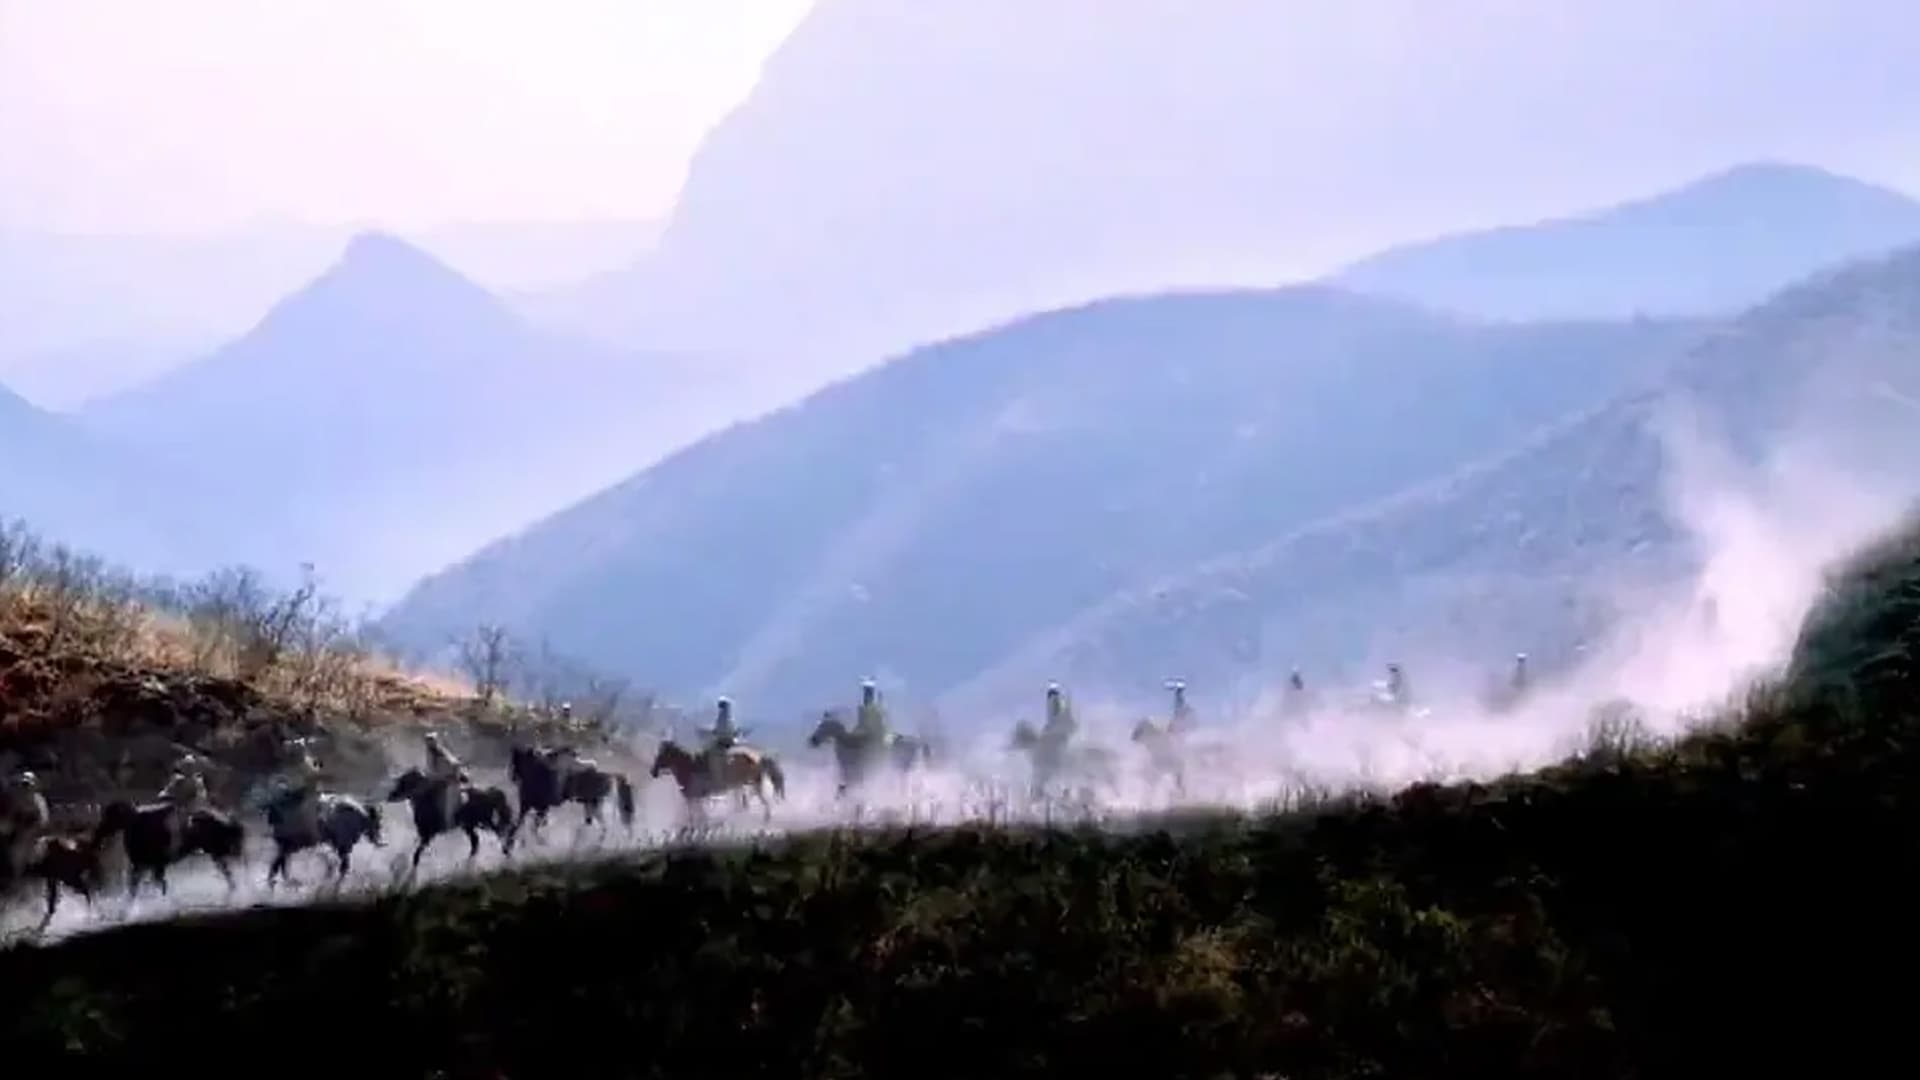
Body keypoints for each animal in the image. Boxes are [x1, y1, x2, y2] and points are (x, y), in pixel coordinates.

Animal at [92, 795, 243, 895]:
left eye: (110, 816)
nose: (97, 836)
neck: (136, 823)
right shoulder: (145, 867)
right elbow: (139, 889)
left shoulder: (154, 866)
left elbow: (159, 886)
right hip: (218, 854)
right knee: (229, 873)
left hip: (221, 852)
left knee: (230, 872)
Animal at [385, 764, 518, 864]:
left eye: (403, 783)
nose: (390, 796)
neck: (425, 797)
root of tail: (490, 793)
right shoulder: (425, 834)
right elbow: (419, 849)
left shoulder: (427, 833)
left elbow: (418, 850)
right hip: (470, 825)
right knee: (476, 840)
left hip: (485, 822)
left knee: (499, 832)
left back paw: (506, 849)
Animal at [503, 737, 637, 841]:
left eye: (514, 761)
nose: (512, 777)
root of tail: (612, 777)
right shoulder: (532, 806)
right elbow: (524, 825)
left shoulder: (538, 806)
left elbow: (530, 826)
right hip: (593, 805)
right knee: (599, 825)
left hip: (595, 806)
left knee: (603, 826)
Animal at [648, 734, 783, 818]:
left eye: (662, 755)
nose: (653, 772)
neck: (690, 767)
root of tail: (756, 759)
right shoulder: (695, 798)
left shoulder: (694, 797)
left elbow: (696, 814)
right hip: (748, 783)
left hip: (751, 782)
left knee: (759, 798)